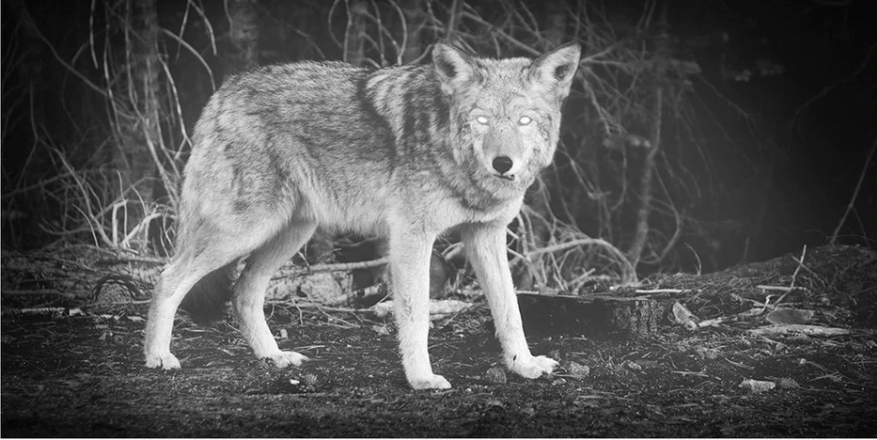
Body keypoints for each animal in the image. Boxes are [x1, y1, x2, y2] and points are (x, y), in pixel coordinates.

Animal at [144, 39, 580, 386]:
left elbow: (510, 310)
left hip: (291, 233)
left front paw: (523, 365)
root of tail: (224, 91)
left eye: (524, 121)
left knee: (243, 292)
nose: (502, 163)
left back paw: (275, 357)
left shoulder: (486, 235)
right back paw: (158, 357)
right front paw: (421, 379)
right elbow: (416, 315)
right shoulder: (411, 236)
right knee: (168, 278)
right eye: (482, 120)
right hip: (244, 230)